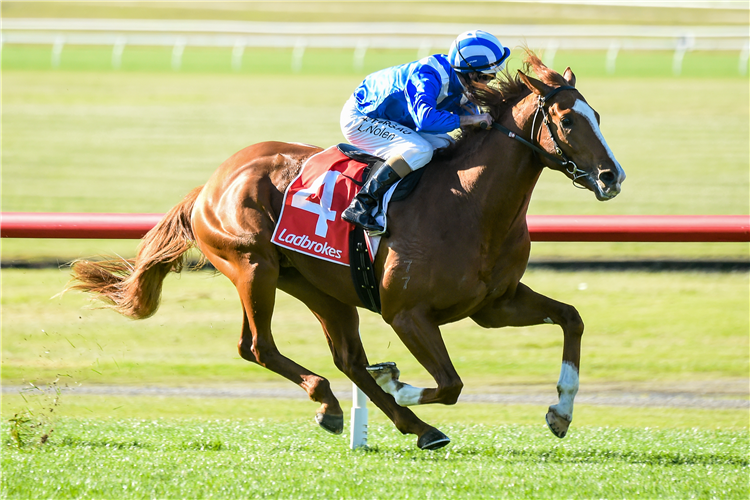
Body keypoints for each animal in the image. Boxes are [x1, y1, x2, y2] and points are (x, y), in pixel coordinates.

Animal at [70, 52, 624, 452]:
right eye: (567, 120)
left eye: (598, 115)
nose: (611, 176)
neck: (471, 204)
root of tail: (212, 183)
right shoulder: (408, 314)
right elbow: (450, 383)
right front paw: (401, 382)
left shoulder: (493, 304)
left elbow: (571, 318)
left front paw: (560, 413)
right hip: (253, 266)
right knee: (259, 347)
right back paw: (339, 404)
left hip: (321, 286)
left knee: (346, 359)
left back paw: (411, 425)